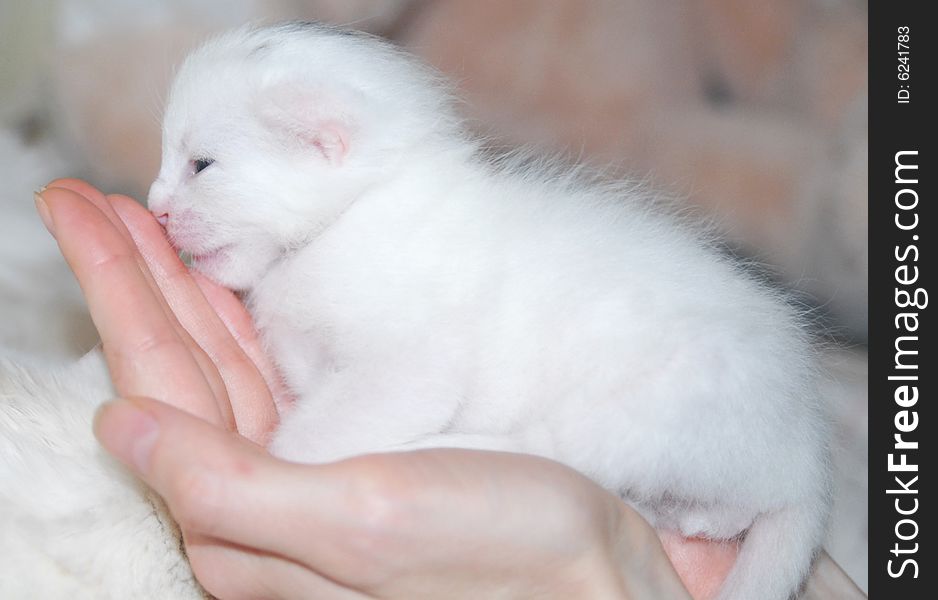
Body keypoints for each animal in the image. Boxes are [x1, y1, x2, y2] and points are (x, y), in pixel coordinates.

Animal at [150, 24, 828, 600]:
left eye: (202, 165)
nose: (156, 209)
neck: (351, 215)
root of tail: (804, 449)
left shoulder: (411, 365)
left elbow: (320, 430)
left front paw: (285, 463)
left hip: (634, 410)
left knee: (563, 452)